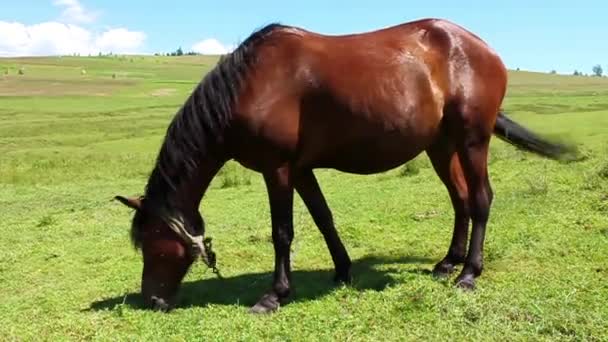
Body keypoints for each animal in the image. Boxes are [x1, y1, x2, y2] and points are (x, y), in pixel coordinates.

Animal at [114, 18, 576, 312]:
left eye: (153, 242)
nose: (151, 301)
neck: (250, 86)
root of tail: (483, 48)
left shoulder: (277, 169)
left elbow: (282, 233)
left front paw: (274, 295)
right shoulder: (301, 170)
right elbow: (324, 218)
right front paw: (342, 271)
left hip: (472, 139)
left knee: (480, 199)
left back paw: (468, 274)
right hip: (441, 146)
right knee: (461, 199)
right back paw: (448, 263)